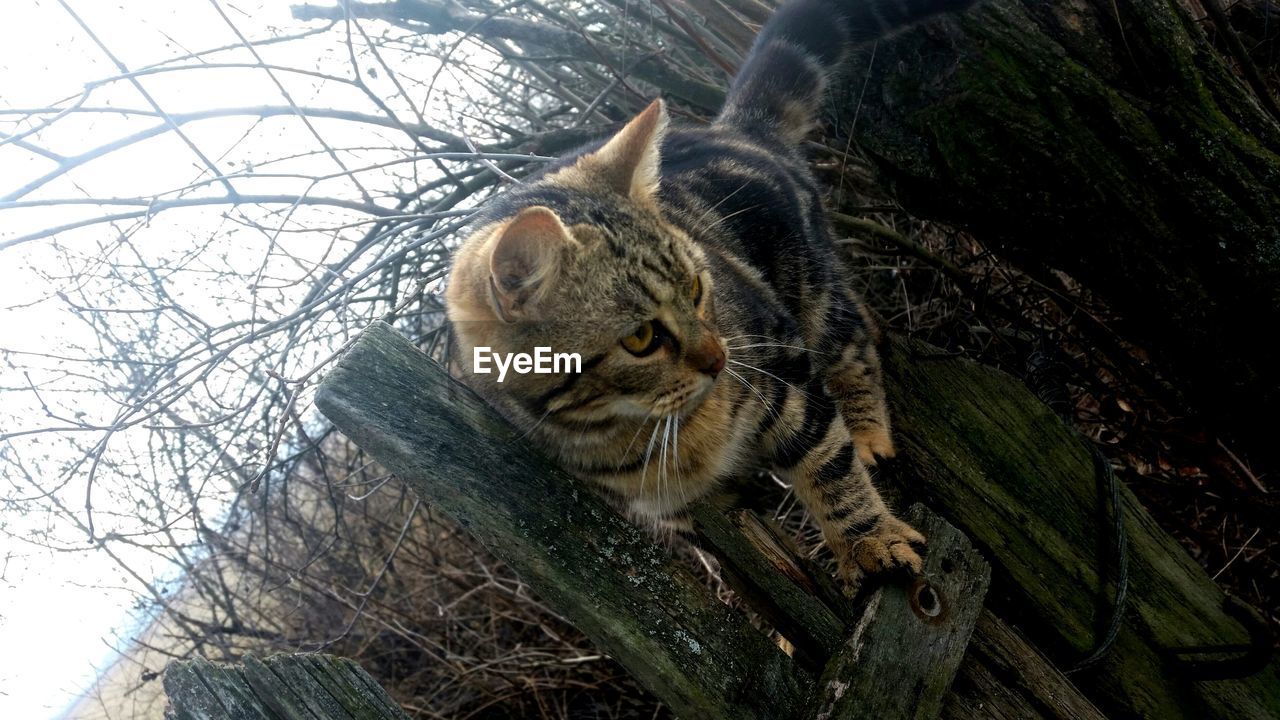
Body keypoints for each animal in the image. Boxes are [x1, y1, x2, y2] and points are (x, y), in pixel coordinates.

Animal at [445, 0, 972, 584]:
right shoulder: (680, 506)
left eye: (696, 287)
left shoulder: (783, 364)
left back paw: (867, 431)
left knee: (850, 343)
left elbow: (828, 464)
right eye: (641, 338)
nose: (719, 358)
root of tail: (734, 126)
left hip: (806, 287)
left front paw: (870, 539)